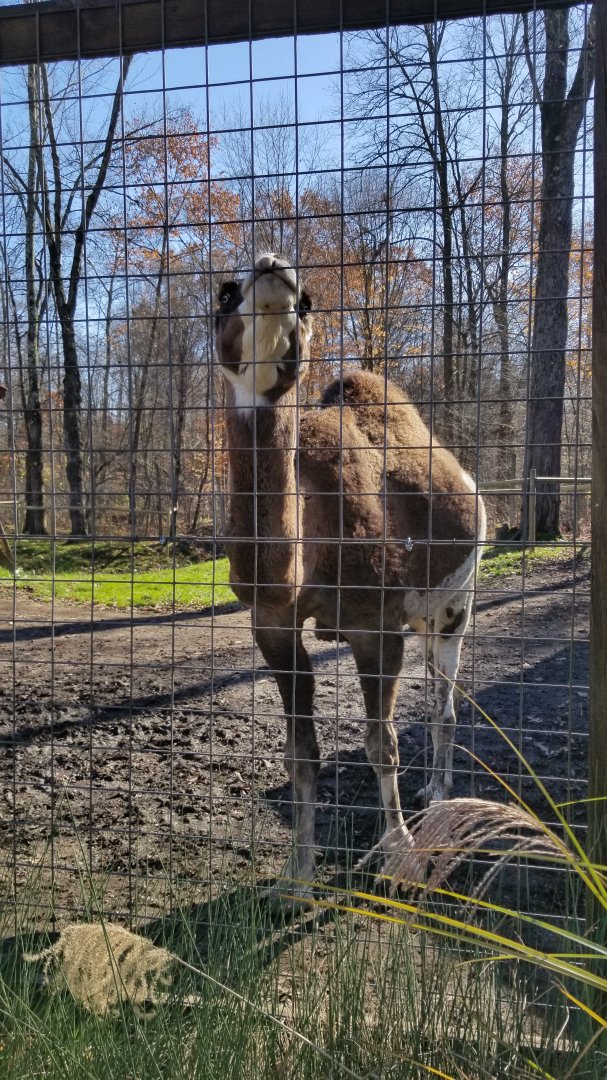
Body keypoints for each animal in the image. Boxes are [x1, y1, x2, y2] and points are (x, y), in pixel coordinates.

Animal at [215, 253, 486, 892]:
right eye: (224, 293)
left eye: (310, 301)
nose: (273, 267)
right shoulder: (273, 624)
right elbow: (302, 755)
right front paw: (296, 875)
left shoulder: (374, 625)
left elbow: (380, 744)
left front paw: (400, 853)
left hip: (453, 607)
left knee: (445, 701)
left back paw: (438, 793)